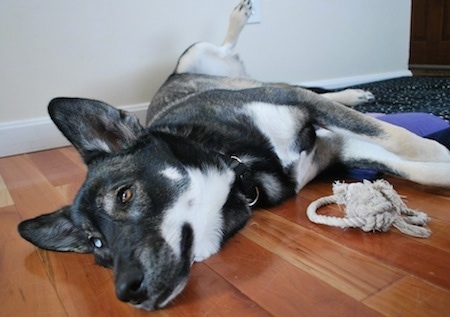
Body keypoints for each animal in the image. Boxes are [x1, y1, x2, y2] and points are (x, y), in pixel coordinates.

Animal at [17, 0, 450, 310]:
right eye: (96, 245)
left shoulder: (306, 110)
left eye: (124, 195)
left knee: (256, 61)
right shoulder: (333, 151)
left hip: (209, 59)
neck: (236, 163)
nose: (126, 292)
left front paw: (438, 150)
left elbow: (400, 140)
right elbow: (407, 161)